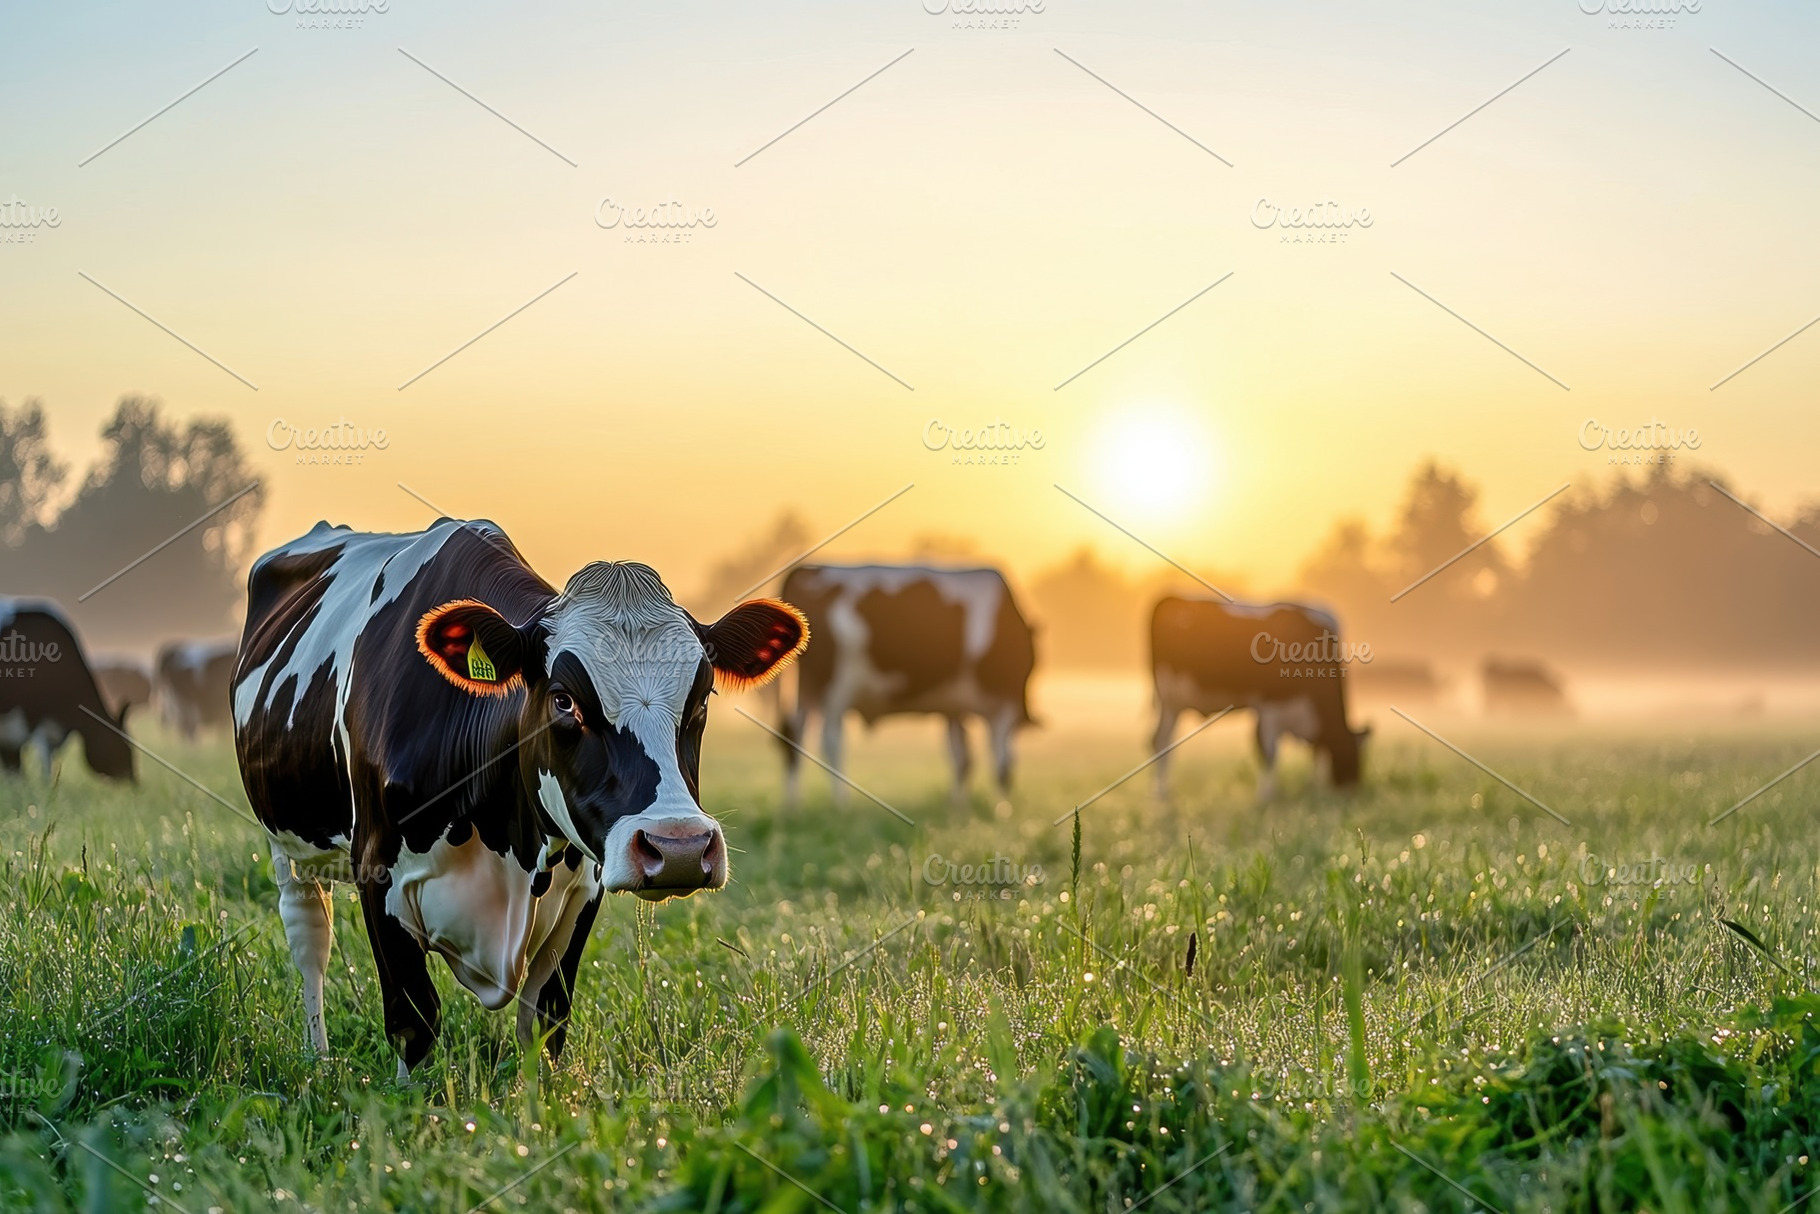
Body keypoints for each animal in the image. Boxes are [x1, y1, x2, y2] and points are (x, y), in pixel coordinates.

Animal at [231, 519, 805, 1074]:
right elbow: (414, 1021)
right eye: (564, 701)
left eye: (702, 698)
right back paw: (319, 1063)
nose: (680, 847)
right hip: (286, 848)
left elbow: (546, 1022)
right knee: (310, 940)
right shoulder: (375, 867)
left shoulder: (584, 887)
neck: (506, 841)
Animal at [777, 564, 1036, 804]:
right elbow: (1003, 762)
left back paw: (792, 806)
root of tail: (808, 571)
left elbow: (962, 758)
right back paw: (841, 804)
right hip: (837, 686)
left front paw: (959, 807)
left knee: (795, 736)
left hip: (808, 689)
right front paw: (1002, 807)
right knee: (831, 741)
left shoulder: (954, 706)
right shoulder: (1002, 704)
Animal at [1150, 596, 1369, 800]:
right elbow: (1268, 752)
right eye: (1350, 754)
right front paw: (1266, 797)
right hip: (1168, 700)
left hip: (1172, 704)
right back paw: (1161, 798)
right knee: (1160, 742)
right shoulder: (1269, 708)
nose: (1353, 788)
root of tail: (1170, 598)